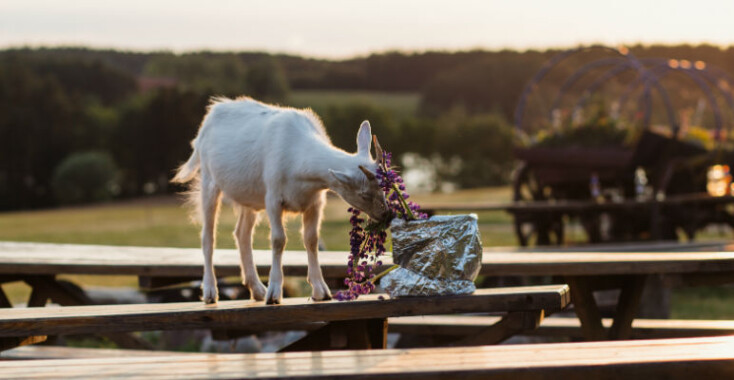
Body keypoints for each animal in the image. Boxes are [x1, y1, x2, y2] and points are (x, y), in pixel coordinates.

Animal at [173, 96, 392, 304]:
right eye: (364, 194)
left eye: (383, 187)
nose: (387, 215)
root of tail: (211, 114)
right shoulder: (273, 198)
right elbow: (279, 240)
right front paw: (274, 294)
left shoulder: (315, 202)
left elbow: (311, 239)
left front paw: (321, 291)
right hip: (209, 181)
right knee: (208, 236)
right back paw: (211, 292)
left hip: (249, 197)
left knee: (242, 233)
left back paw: (257, 290)